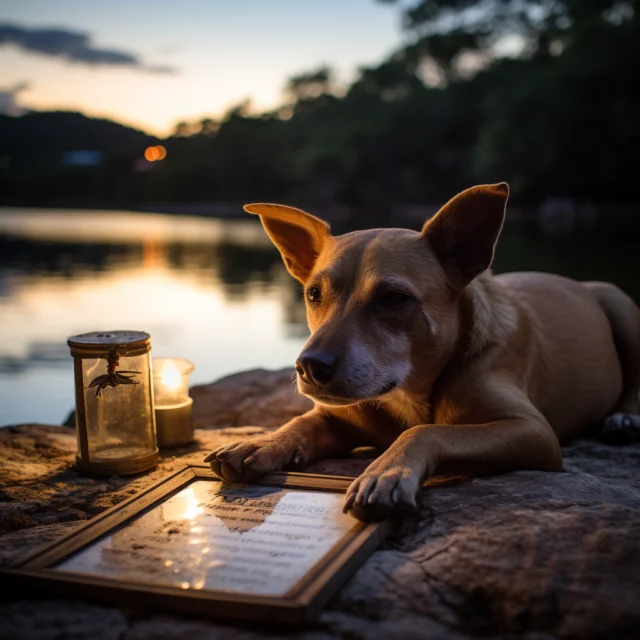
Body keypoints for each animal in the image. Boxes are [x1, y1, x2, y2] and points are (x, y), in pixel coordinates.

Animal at [206, 184, 640, 520]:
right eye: (314, 294)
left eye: (394, 298)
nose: (309, 367)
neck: (410, 393)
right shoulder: (337, 418)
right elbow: (301, 422)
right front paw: (263, 442)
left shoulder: (533, 430)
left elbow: (428, 430)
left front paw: (388, 470)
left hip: (617, 302)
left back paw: (624, 419)